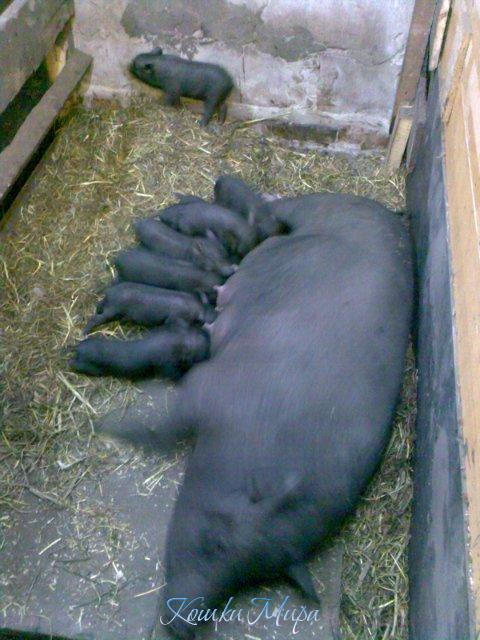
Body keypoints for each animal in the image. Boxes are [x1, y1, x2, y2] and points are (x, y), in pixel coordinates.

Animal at [71, 326, 209, 380]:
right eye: (197, 349)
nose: (206, 334)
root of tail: (78, 347)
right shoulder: (167, 365)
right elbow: (174, 375)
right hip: (89, 366)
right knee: (73, 364)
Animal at [83, 282, 215, 334]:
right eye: (202, 320)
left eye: (211, 307)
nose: (214, 317)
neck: (195, 307)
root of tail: (110, 291)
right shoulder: (176, 318)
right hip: (112, 309)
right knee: (96, 318)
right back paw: (84, 333)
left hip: (108, 305)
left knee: (99, 305)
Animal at [97, 192, 413, 638]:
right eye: (213, 542)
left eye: (251, 577)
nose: (183, 624)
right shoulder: (213, 389)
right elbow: (162, 423)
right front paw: (108, 429)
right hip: (307, 210)